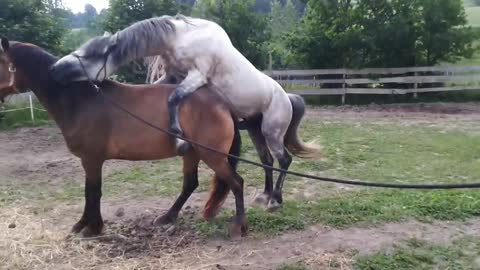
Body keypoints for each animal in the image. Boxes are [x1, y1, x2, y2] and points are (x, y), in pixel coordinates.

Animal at [0, 38, 248, 238]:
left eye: (0, 60)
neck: (80, 100)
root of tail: (221, 103)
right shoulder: (89, 161)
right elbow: (89, 192)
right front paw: (83, 225)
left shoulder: (92, 160)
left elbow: (93, 192)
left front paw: (91, 227)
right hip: (192, 153)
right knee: (190, 184)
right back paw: (167, 217)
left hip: (212, 156)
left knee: (236, 182)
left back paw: (238, 227)